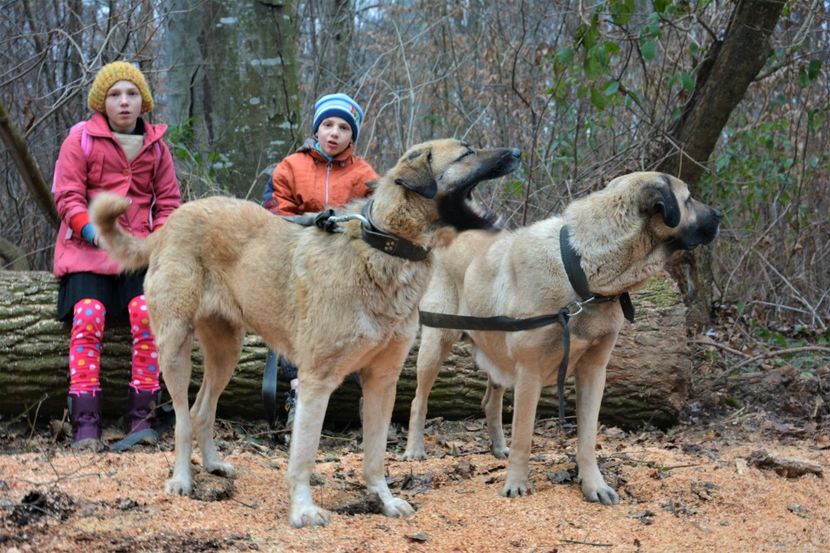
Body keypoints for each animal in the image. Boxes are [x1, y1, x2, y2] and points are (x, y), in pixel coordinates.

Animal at [89, 138, 520, 528]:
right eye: (467, 152)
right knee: (181, 416)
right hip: (175, 347)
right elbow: (304, 454)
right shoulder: (316, 382)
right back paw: (182, 478)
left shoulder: (382, 381)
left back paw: (212, 465)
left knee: (202, 409)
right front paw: (302, 510)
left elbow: (375, 454)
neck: (383, 248)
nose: (516, 152)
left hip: (226, 351)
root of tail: (170, 223)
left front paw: (383, 500)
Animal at [404, 172, 720, 504]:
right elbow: (524, 436)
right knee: (418, 400)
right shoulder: (529, 373)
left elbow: (587, 437)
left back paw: (498, 447)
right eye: (688, 199)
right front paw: (517, 483)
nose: (719, 216)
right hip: (436, 344)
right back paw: (415, 449)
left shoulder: (593, 371)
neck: (582, 271)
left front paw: (593, 484)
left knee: (490, 402)